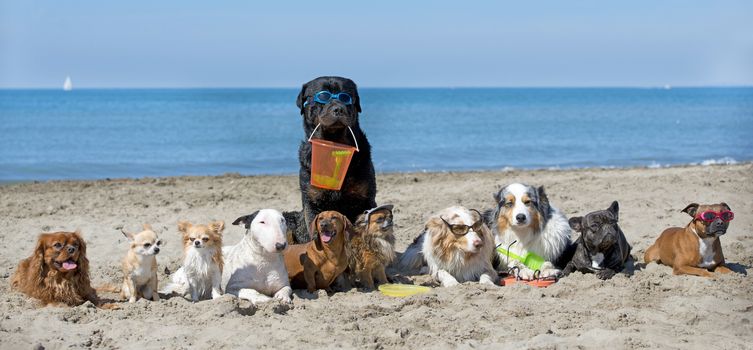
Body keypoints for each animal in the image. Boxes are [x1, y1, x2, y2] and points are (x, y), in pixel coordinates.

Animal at [282, 77, 376, 243]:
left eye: (345, 97)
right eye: (323, 96)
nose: (338, 109)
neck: (333, 147)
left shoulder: (366, 197)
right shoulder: (312, 201)